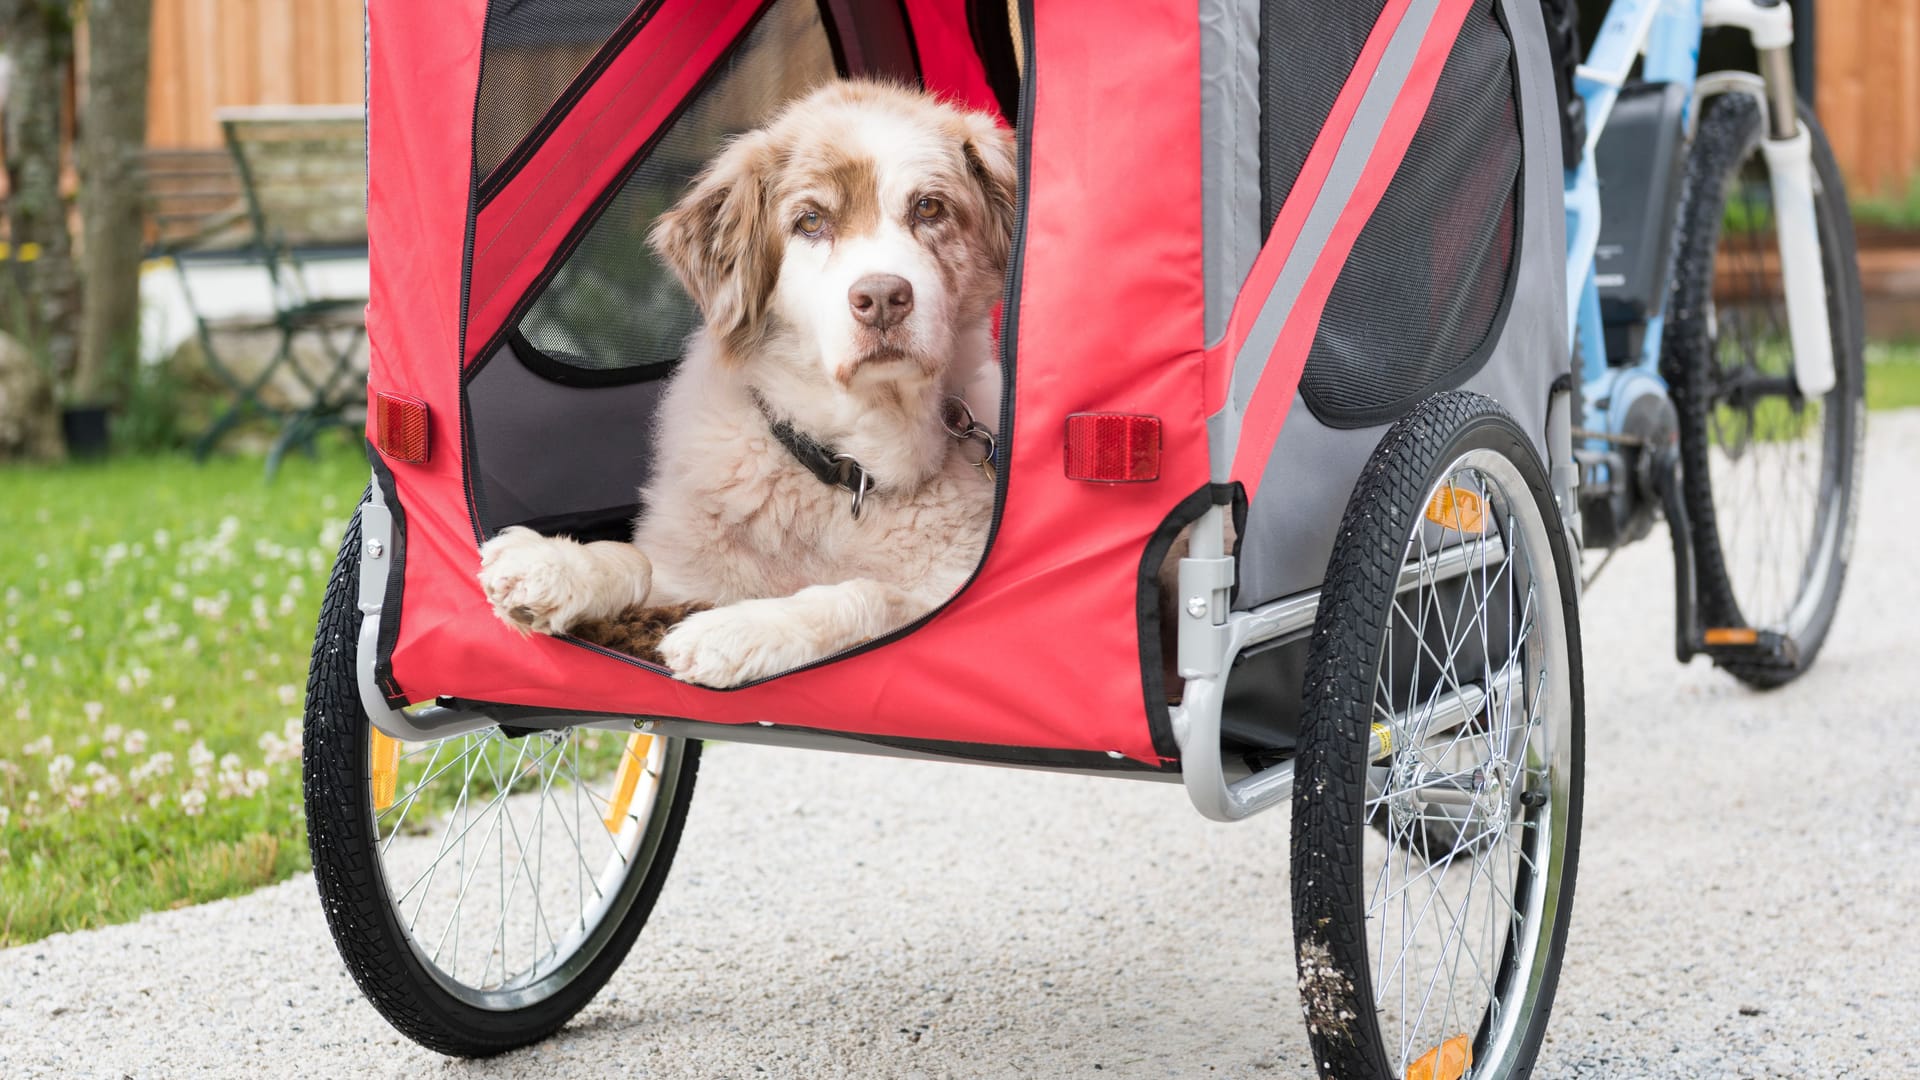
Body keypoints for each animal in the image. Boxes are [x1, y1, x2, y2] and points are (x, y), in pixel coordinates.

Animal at [476, 79, 1021, 684]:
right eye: (810, 222)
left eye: (929, 207)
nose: (882, 297)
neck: (849, 470)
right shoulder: (688, 574)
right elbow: (638, 561)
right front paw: (553, 564)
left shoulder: (953, 599)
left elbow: (867, 595)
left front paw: (735, 629)